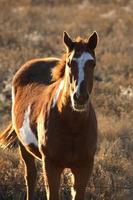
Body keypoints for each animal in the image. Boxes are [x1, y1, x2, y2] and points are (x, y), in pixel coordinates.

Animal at [0, 31, 97, 200]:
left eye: (92, 63)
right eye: (70, 63)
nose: (80, 97)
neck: (73, 125)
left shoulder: (84, 166)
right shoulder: (51, 165)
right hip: (24, 147)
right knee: (30, 177)